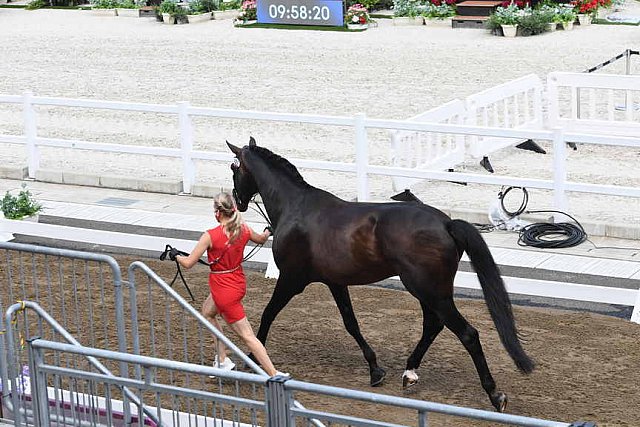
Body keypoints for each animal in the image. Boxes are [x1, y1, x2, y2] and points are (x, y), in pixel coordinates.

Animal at [226, 137, 536, 412]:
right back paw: (410, 373)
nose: (238, 202)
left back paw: (494, 395)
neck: (296, 207)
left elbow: (268, 313)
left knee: (467, 333)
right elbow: (351, 323)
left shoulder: (292, 279)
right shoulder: (334, 282)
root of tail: (446, 223)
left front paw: (251, 357)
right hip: (428, 290)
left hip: (427, 289)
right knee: (433, 325)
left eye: (233, 168)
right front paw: (375, 370)